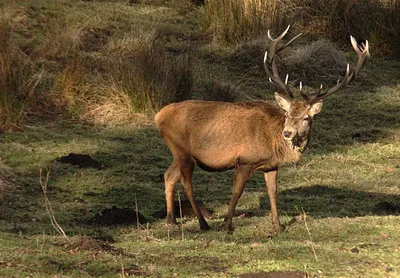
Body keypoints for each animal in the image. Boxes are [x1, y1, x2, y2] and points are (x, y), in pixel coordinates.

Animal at [154, 26, 368, 235]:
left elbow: (272, 192)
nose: (287, 133)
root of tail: (159, 116)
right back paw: (203, 223)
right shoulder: (244, 160)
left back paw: (171, 220)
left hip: (180, 154)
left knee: (168, 176)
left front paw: (278, 226)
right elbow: (237, 192)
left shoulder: (271, 165)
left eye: (306, 118)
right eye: (287, 114)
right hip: (181, 150)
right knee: (186, 183)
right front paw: (227, 225)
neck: (273, 143)